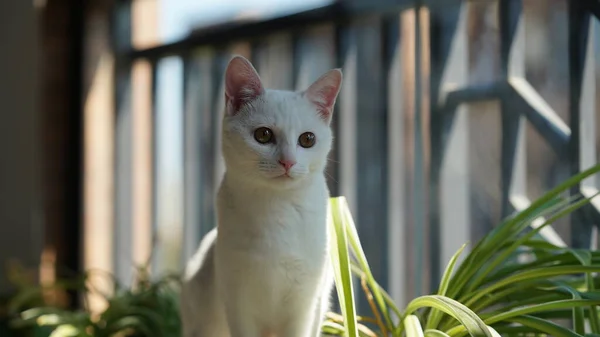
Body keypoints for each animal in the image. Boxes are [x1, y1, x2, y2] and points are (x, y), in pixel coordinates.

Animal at [180, 55, 342, 336]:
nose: (288, 162)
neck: (277, 208)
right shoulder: (238, 302)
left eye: (308, 139)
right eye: (263, 135)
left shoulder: (304, 306)